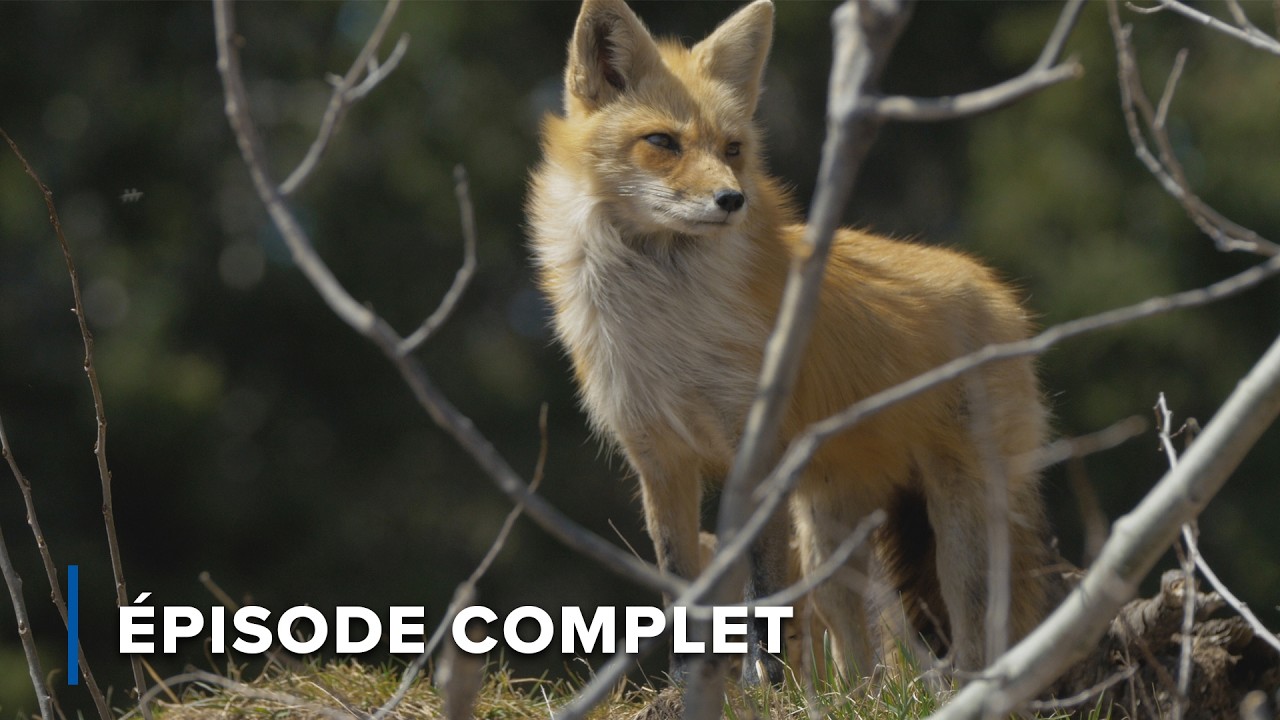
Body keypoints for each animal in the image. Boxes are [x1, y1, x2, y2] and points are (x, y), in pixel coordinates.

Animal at [528, 0, 1055, 685]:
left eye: (733, 148)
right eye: (662, 142)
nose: (731, 199)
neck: (665, 327)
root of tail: (998, 293)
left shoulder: (756, 457)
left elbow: (763, 593)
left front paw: (766, 687)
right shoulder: (660, 461)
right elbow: (680, 590)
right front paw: (687, 688)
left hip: (958, 524)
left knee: (972, 636)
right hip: (831, 528)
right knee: (857, 650)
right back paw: (860, 696)